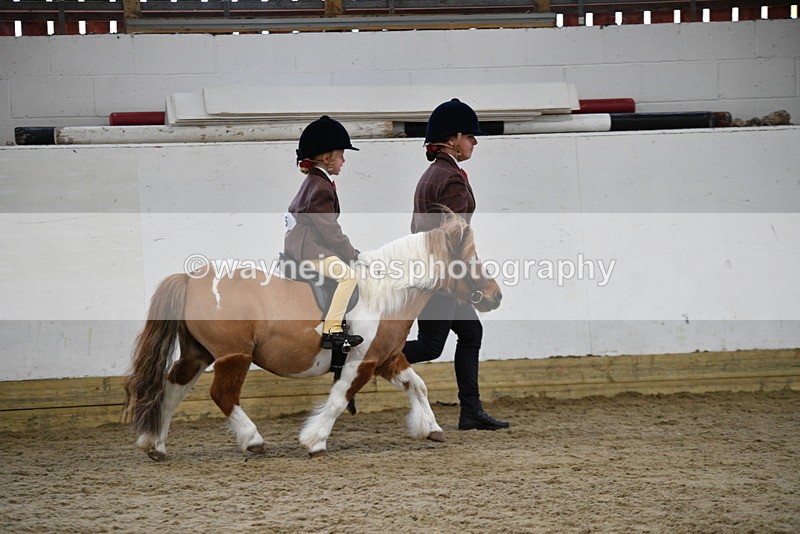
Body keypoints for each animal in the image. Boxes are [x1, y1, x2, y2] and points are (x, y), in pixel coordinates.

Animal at [123, 215, 503, 460]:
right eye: (469, 260)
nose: (495, 295)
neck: (385, 291)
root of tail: (190, 278)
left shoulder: (387, 359)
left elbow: (418, 385)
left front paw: (431, 428)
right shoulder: (361, 362)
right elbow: (338, 399)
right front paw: (314, 441)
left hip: (197, 354)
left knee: (171, 391)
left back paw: (155, 445)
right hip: (234, 356)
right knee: (222, 395)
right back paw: (253, 440)